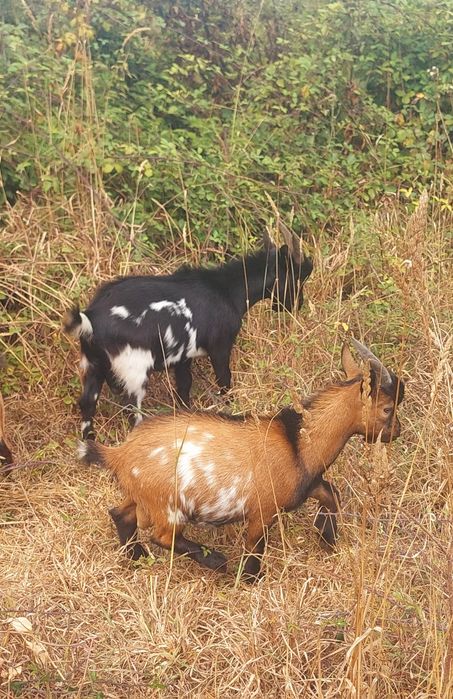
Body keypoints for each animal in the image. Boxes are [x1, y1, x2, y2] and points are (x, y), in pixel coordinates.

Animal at [63, 225, 312, 439]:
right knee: (131, 407)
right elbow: (224, 382)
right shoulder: (220, 346)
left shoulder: (183, 358)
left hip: (93, 364)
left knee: (87, 402)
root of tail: (92, 318)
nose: (296, 305)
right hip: (134, 367)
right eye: (297, 275)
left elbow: (184, 388)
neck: (226, 290)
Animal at [79, 339, 405, 581]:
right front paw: (249, 579)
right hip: (168, 506)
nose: (397, 432)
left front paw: (327, 540)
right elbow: (254, 549)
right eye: (388, 409)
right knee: (162, 535)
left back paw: (137, 558)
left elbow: (331, 493)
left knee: (120, 514)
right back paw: (216, 561)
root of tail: (120, 454)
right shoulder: (263, 510)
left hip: (141, 495)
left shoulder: (306, 485)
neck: (298, 443)